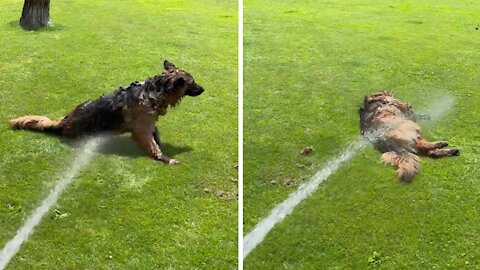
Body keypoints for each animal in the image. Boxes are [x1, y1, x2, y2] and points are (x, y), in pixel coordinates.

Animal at [9, 60, 204, 165]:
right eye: (193, 82)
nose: (203, 89)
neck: (154, 91)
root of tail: (62, 123)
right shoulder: (142, 129)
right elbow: (153, 145)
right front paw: (165, 158)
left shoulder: (148, 124)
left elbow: (156, 136)